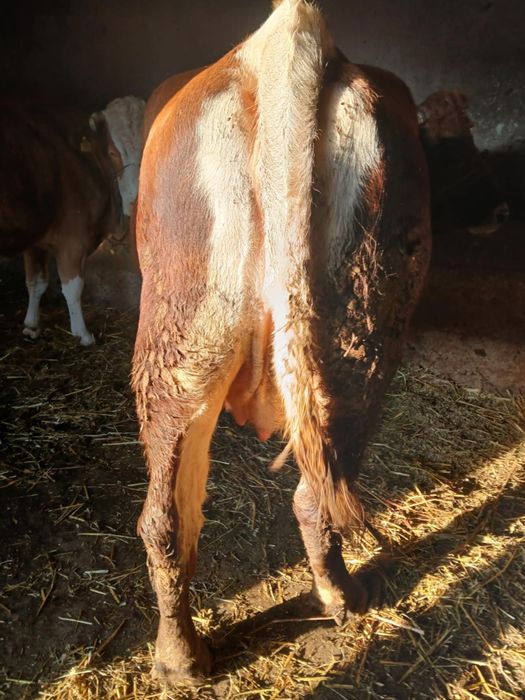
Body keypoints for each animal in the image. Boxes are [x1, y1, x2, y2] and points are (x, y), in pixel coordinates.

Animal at [0, 95, 145, 345]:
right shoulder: (73, 238)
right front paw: (82, 333)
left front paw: (31, 325)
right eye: (112, 152)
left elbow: (35, 282)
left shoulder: (36, 240)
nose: (135, 197)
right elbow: (73, 286)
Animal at [132, 0, 431, 684]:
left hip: (182, 339)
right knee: (311, 491)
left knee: (167, 515)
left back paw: (184, 658)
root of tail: (283, 43)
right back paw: (338, 598)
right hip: (355, 337)